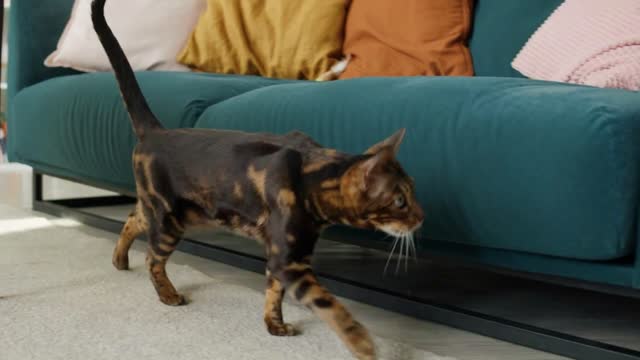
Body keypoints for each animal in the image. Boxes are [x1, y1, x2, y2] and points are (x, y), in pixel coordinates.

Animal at [89, 1, 420, 358]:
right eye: (400, 200)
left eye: (413, 193)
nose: (421, 218)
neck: (312, 175)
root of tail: (156, 131)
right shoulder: (290, 260)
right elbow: (329, 304)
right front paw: (361, 342)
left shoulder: (282, 258)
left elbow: (273, 293)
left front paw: (274, 326)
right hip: (168, 218)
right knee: (152, 257)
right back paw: (167, 294)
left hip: (173, 211)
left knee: (132, 219)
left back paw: (119, 260)